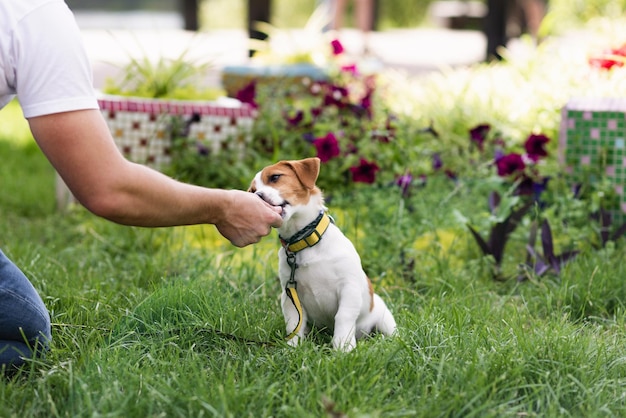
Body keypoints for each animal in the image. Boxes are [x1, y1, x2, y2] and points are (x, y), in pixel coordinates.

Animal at [245, 155, 394, 352]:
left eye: (275, 177)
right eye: (253, 191)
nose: (257, 196)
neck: (305, 242)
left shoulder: (349, 287)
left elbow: (343, 316)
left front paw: (343, 347)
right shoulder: (290, 294)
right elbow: (294, 322)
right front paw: (293, 346)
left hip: (384, 317)